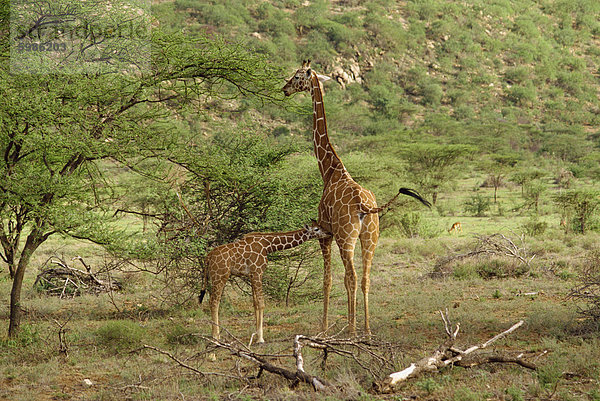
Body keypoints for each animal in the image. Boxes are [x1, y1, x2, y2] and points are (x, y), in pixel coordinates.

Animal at [198, 220, 328, 342]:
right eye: (317, 229)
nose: (328, 233)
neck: (268, 245)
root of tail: (208, 257)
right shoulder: (258, 272)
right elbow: (261, 303)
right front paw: (260, 338)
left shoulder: (251, 275)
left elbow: (255, 304)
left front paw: (256, 335)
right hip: (220, 276)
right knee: (214, 302)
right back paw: (216, 336)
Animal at [282, 60, 432, 334]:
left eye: (297, 76)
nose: (284, 89)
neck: (329, 170)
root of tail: (365, 206)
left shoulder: (324, 233)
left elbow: (328, 280)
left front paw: (324, 327)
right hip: (371, 238)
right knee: (365, 278)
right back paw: (367, 329)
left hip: (347, 238)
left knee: (350, 277)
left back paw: (352, 330)